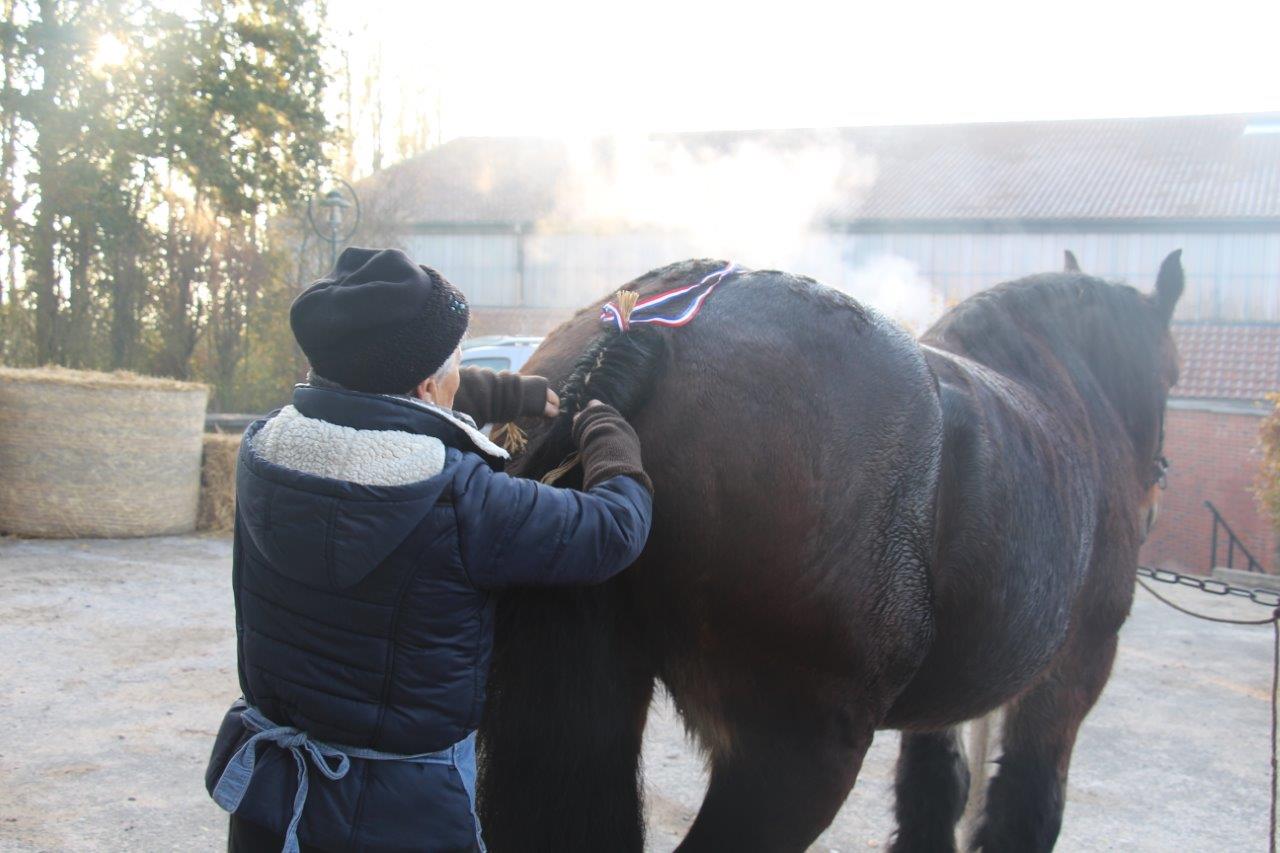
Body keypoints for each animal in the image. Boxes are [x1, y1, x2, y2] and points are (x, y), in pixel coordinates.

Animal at [476, 252, 1182, 850]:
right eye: (1173, 374)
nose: (1154, 500)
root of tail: (639, 333)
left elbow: (933, 794)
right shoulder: (1076, 666)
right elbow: (1025, 806)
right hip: (799, 753)